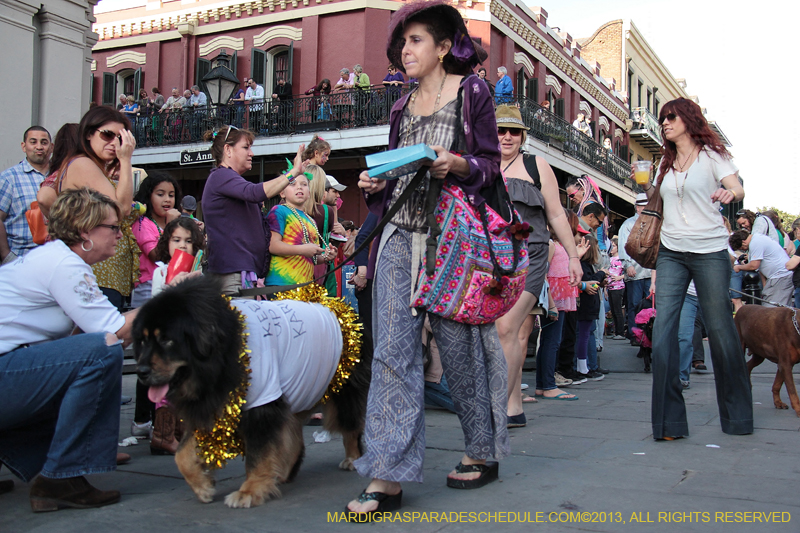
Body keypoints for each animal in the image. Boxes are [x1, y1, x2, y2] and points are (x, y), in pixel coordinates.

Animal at [134, 278, 372, 508]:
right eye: (143, 341)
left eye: (166, 340)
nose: (140, 371)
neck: (224, 350)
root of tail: (344, 310)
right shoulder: (213, 404)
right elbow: (182, 454)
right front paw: (203, 486)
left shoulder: (262, 404)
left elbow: (258, 455)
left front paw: (250, 491)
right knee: (294, 436)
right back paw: (283, 472)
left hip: (342, 390)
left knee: (350, 428)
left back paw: (353, 459)